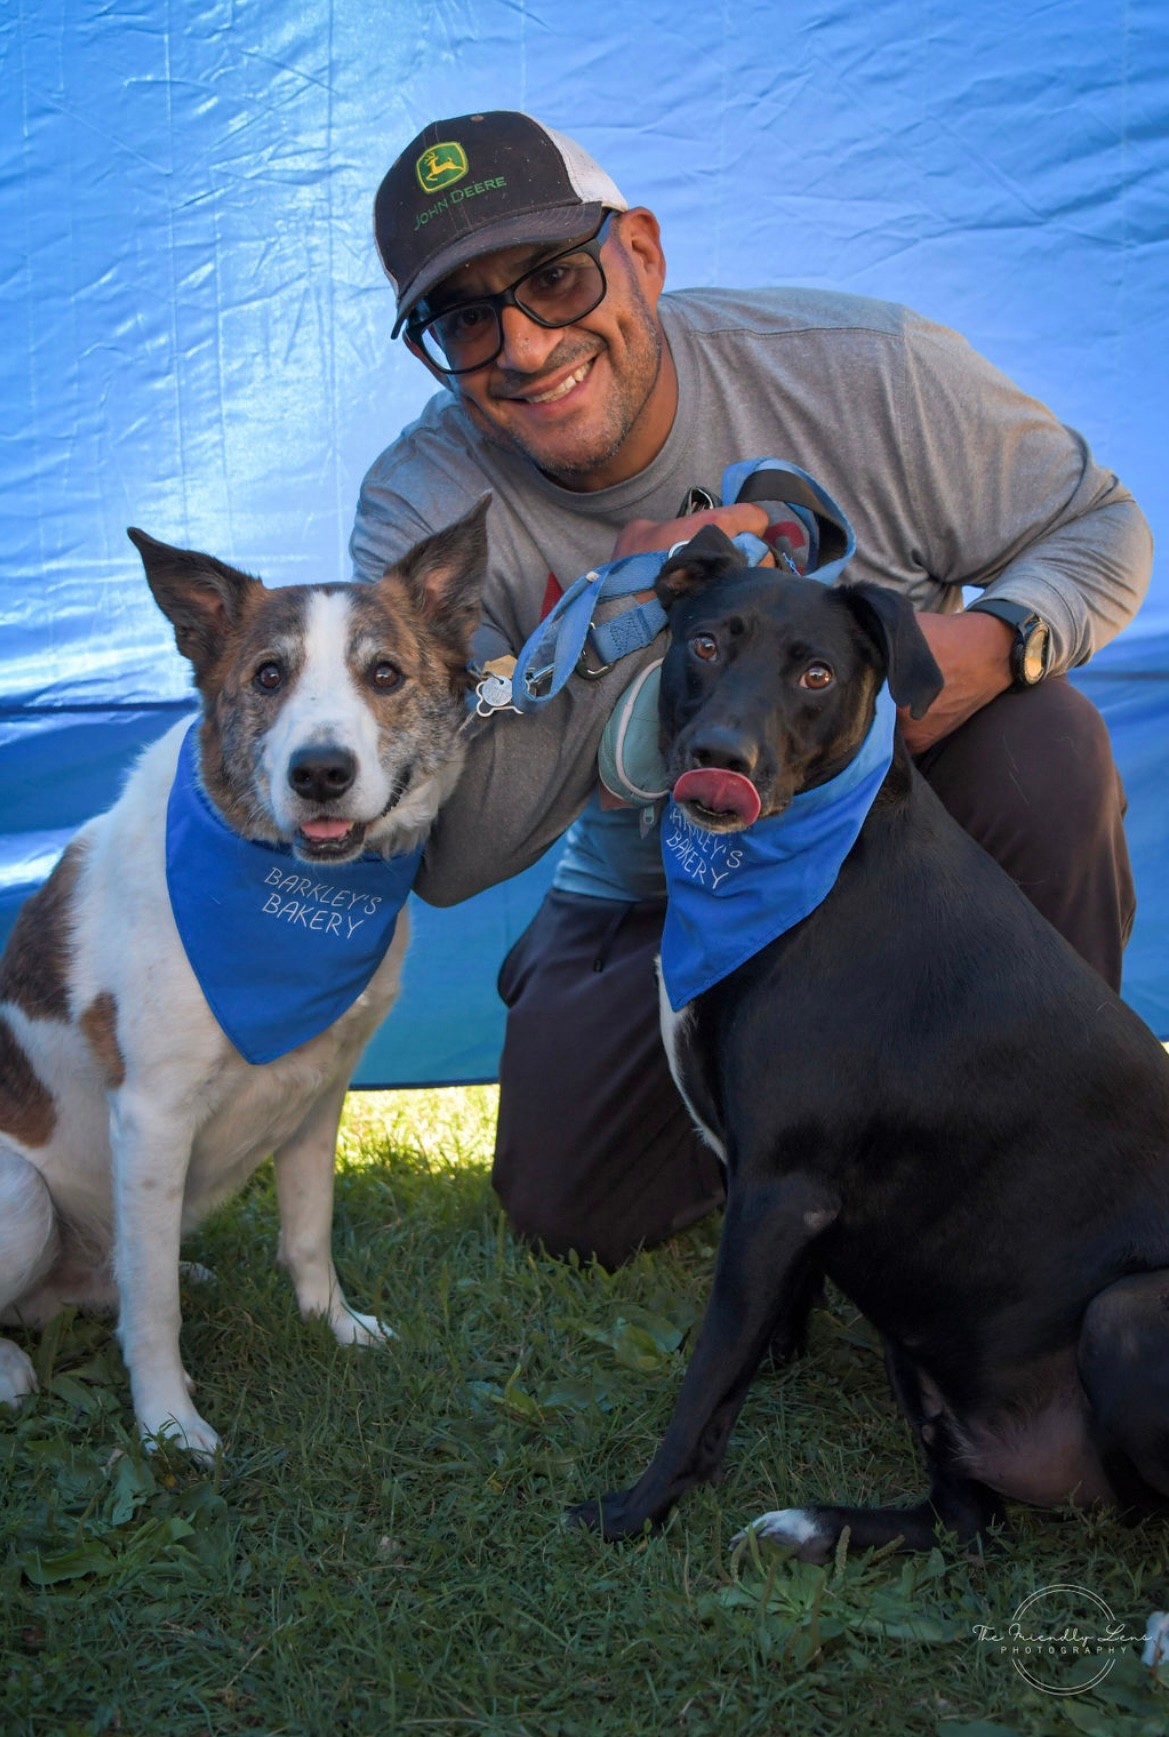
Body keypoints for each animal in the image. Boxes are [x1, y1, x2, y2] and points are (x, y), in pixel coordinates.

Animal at [0, 500, 488, 1458]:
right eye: (269, 675)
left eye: (384, 672)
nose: (320, 772)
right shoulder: (152, 1114)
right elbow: (153, 1309)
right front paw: (168, 1423)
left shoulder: (320, 1090)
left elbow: (307, 1234)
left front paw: (336, 1328)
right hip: (21, 1198)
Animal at [571, 525, 1169, 1559]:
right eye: (704, 645)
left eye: (815, 673)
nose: (718, 759)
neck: (810, 866)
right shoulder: (764, 1184)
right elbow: (750, 1336)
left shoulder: (781, 1187)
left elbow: (706, 1380)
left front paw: (635, 1510)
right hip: (919, 1335)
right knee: (969, 1522)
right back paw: (810, 1525)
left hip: (1123, 1311)